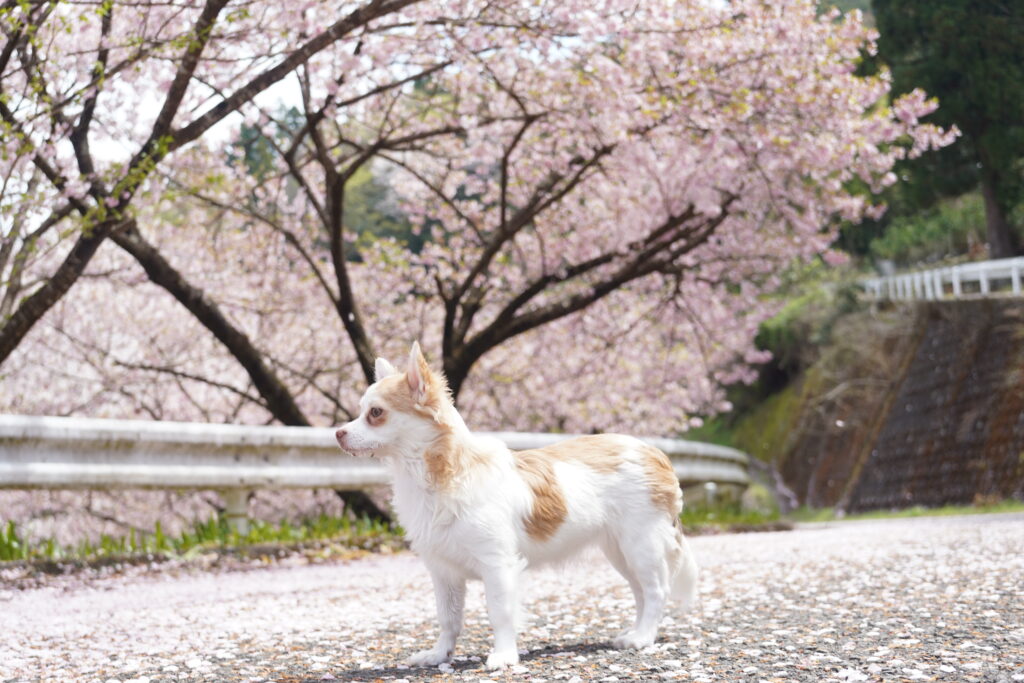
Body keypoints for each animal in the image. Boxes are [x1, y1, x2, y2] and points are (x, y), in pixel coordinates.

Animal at [333, 342, 696, 667]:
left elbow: (500, 612)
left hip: (640, 543)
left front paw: (504, 655)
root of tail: (653, 451)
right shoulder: (444, 571)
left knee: (657, 589)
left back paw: (643, 637)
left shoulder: (497, 565)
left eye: (375, 414)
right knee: (641, 591)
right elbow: (448, 617)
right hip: (619, 549)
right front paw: (439, 655)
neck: (434, 475)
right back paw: (635, 632)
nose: (337, 433)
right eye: (360, 413)